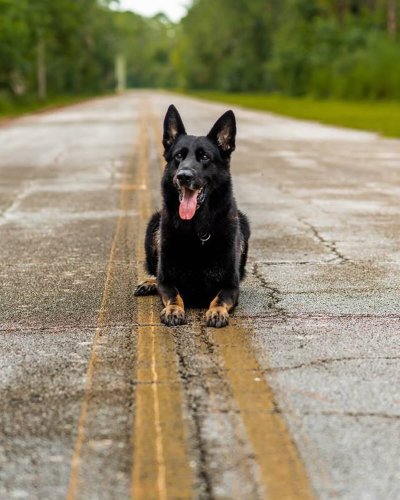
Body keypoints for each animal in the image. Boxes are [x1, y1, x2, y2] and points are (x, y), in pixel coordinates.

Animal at [134, 103, 250, 326]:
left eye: (205, 157)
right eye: (178, 156)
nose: (183, 176)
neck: (197, 230)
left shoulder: (231, 285)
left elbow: (219, 298)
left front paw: (216, 312)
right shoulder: (167, 281)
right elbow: (172, 293)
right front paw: (173, 309)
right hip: (152, 226)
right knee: (155, 272)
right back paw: (149, 283)